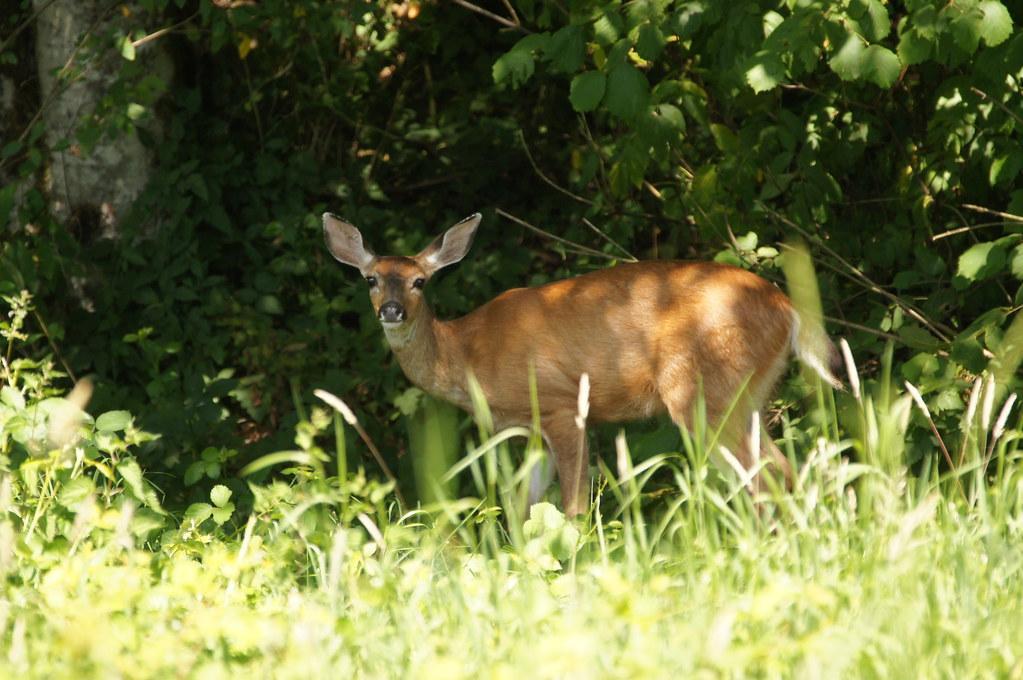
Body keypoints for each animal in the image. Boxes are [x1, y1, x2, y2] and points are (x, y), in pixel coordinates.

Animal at [323, 212, 842, 515]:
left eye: (419, 282)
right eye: (371, 279)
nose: (392, 311)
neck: (468, 352)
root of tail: (788, 310)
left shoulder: (562, 404)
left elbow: (572, 508)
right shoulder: (529, 428)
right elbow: (523, 506)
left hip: (704, 392)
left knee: (768, 476)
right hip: (747, 394)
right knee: (785, 471)